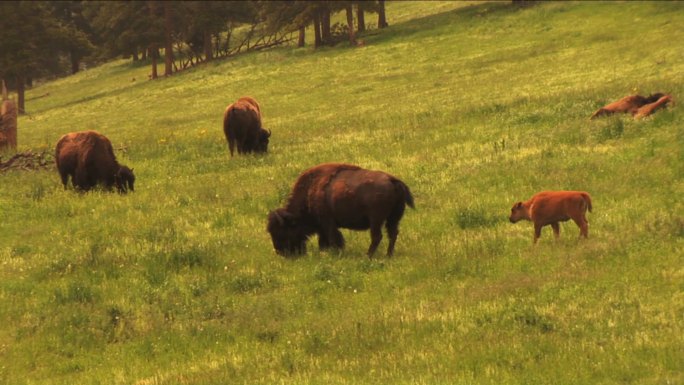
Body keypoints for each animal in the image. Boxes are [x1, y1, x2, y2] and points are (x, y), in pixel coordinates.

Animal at [268, 161, 414, 255]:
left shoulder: (327, 223)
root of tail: (392, 180)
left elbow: (333, 239)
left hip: (376, 220)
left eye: (281, 231)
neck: (310, 190)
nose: (280, 252)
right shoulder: (323, 226)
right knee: (392, 234)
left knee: (377, 236)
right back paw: (388, 255)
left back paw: (368, 256)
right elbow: (325, 240)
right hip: (393, 218)